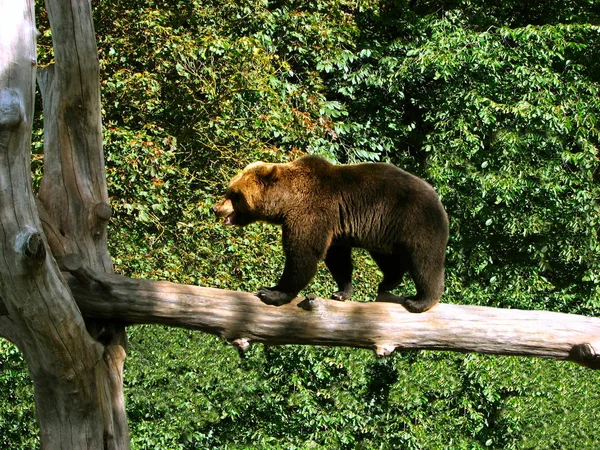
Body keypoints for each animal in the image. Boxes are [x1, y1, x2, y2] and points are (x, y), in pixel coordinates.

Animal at [213, 155, 448, 312]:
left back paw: (420, 301)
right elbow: (337, 258)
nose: (216, 208)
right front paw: (341, 291)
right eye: (229, 190)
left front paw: (272, 292)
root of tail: (439, 200)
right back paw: (387, 282)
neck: (287, 201)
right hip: (385, 232)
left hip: (415, 222)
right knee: (389, 259)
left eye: (234, 195)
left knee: (425, 262)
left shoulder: (312, 210)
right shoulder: (335, 225)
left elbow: (303, 254)